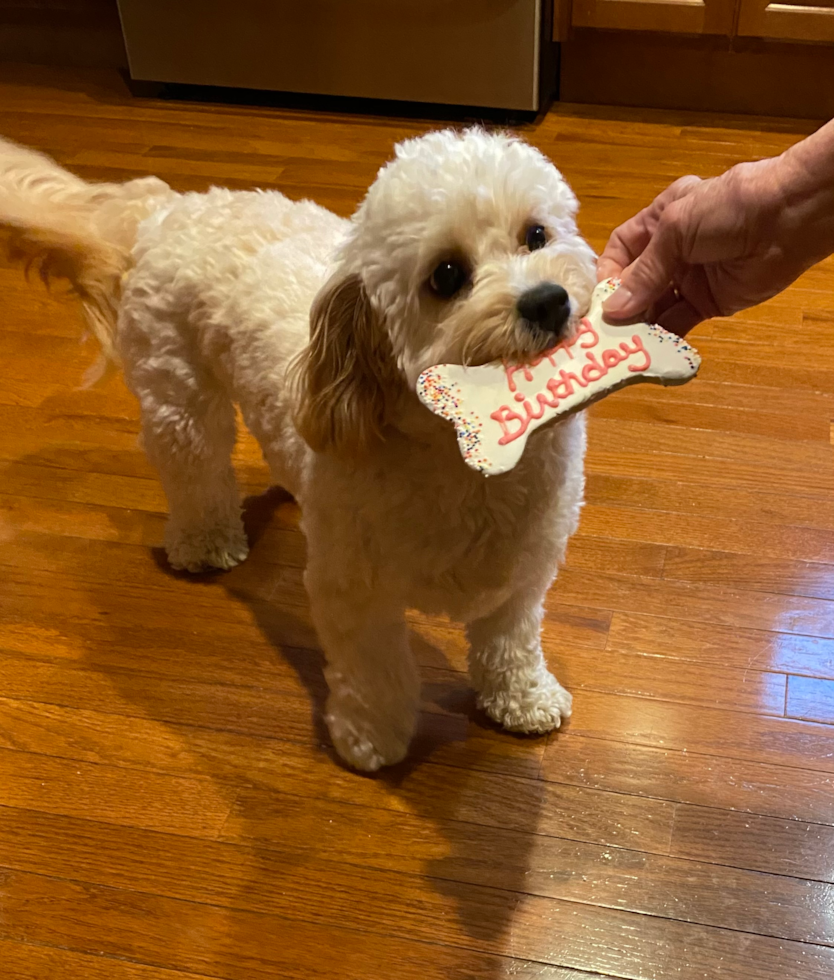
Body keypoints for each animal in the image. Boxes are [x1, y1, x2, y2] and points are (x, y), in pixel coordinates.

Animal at [1, 132, 600, 772]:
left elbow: (511, 646)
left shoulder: (522, 578)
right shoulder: (355, 594)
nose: (547, 301)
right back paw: (203, 542)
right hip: (178, 399)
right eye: (446, 275)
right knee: (193, 470)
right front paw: (371, 737)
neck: (472, 460)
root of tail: (171, 208)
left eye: (535, 235)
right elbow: (376, 673)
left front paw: (524, 699)